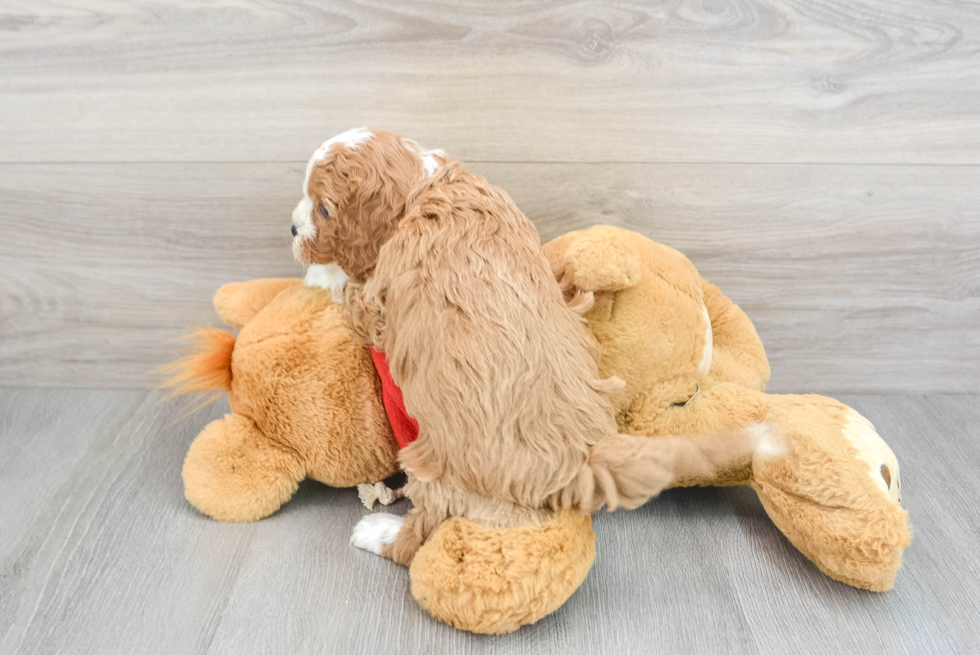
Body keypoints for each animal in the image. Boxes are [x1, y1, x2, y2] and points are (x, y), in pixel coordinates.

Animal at [290, 129, 772, 568]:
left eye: (324, 208)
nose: (293, 227)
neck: (424, 186)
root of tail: (577, 469)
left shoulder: (378, 302)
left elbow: (348, 286)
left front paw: (319, 273)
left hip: (438, 467)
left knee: (423, 531)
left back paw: (379, 532)